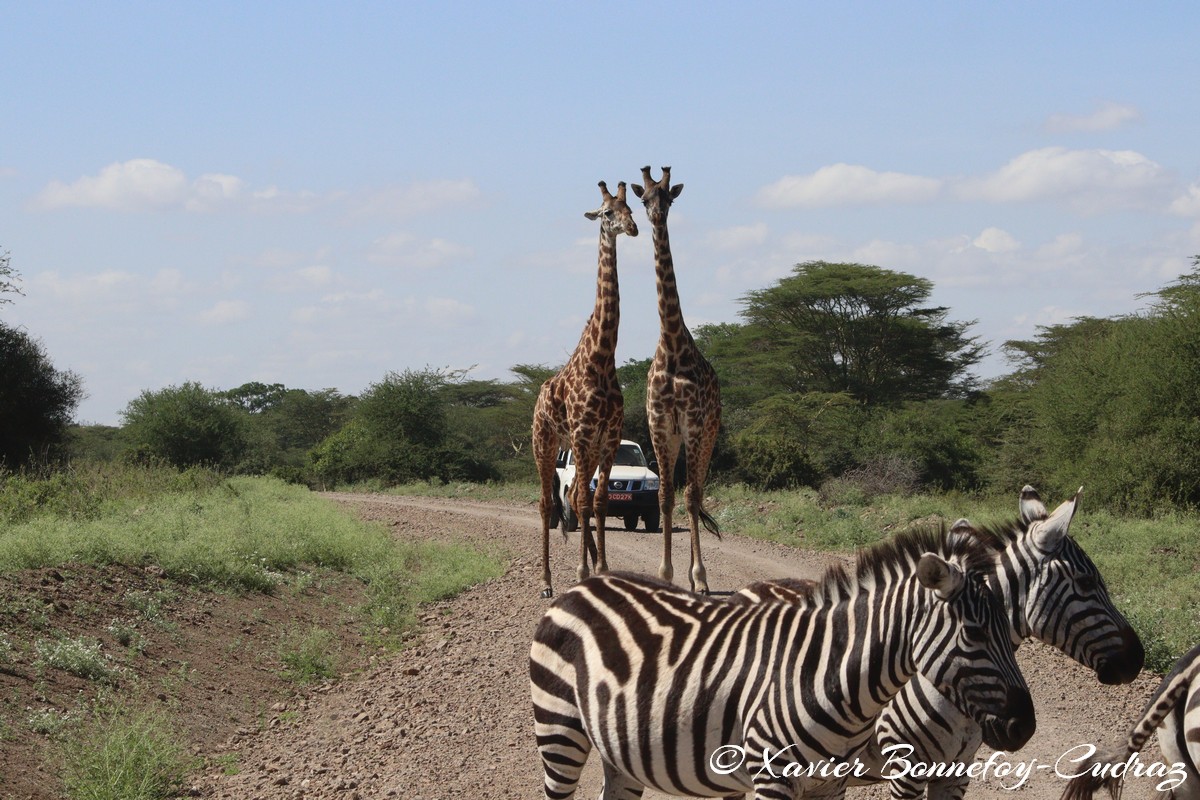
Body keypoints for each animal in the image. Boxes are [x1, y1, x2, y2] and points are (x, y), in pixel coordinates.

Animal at [528, 178, 633, 597]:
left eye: (631, 208)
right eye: (606, 213)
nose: (632, 228)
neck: (602, 358)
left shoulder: (609, 437)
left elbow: (600, 501)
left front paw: (601, 568)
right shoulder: (586, 432)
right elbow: (582, 504)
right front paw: (582, 571)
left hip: (573, 444)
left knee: (574, 495)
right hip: (545, 443)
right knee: (546, 502)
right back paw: (546, 582)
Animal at [530, 522, 1036, 796]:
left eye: (1013, 636)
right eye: (973, 633)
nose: (1024, 728)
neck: (833, 679)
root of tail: (581, 586)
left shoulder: (830, 786)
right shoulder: (772, 778)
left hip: (617, 751)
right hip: (559, 728)